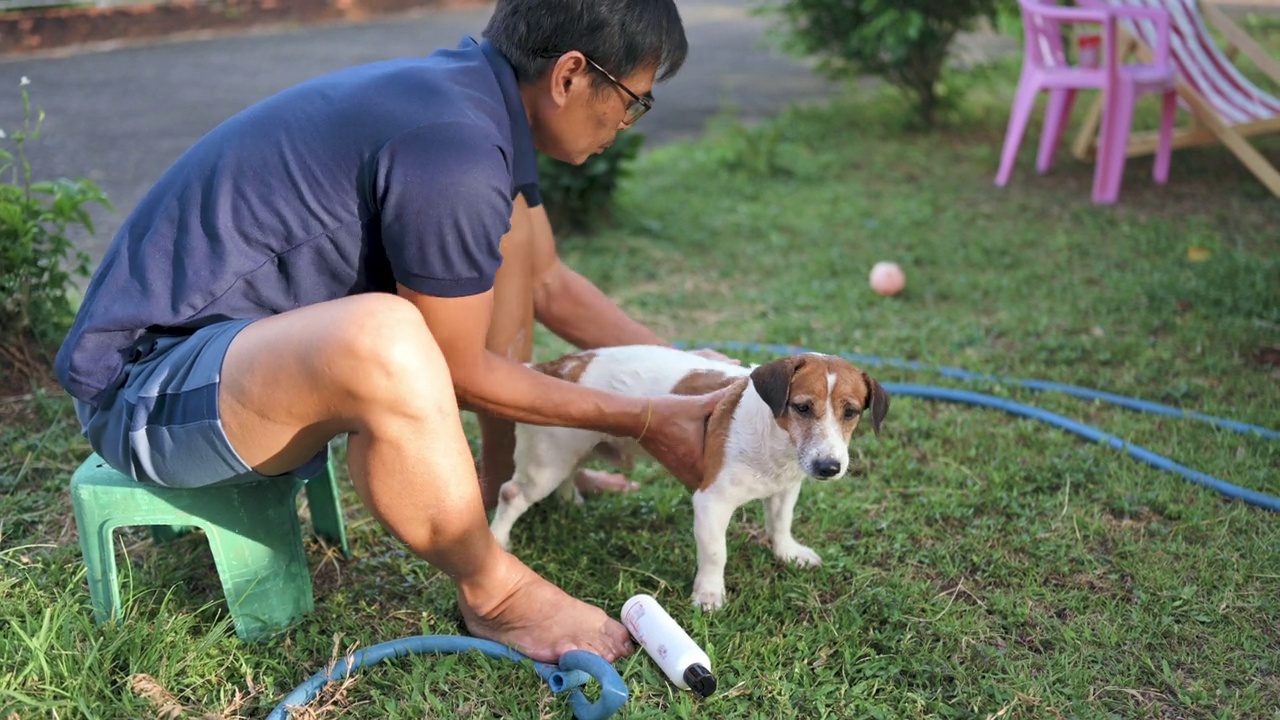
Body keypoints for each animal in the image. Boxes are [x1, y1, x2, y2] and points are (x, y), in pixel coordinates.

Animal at [488, 345, 890, 607]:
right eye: (803, 407)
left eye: (851, 412)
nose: (829, 467)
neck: (774, 439)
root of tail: (554, 367)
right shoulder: (711, 502)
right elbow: (715, 552)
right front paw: (709, 594)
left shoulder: (786, 487)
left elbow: (780, 523)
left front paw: (788, 552)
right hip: (546, 462)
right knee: (511, 494)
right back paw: (499, 540)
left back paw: (571, 501)